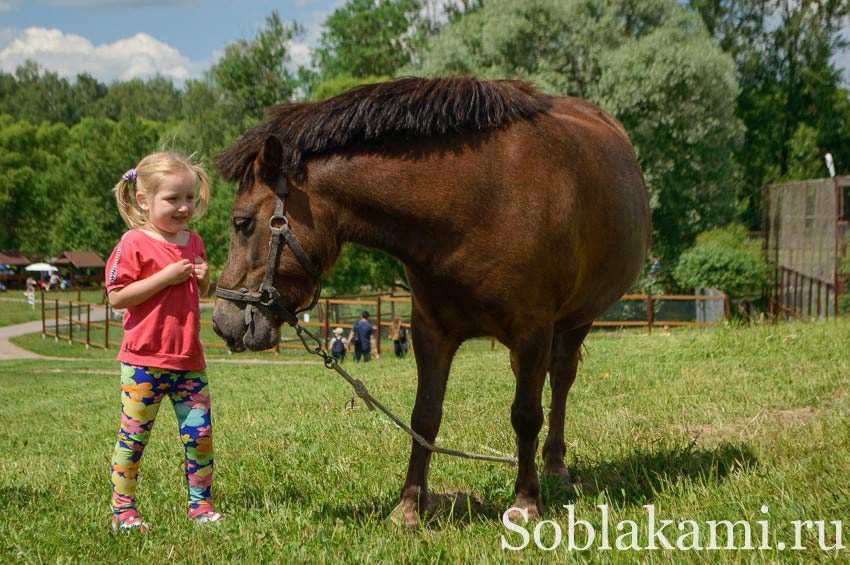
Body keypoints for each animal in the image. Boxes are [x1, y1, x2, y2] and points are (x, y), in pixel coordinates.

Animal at [212, 75, 648, 524]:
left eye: (241, 223)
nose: (223, 321)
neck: (479, 200)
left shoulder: (533, 330)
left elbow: (526, 415)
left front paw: (526, 500)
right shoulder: (431, 331)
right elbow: (425, 416)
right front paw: (408, 506)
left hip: (577, 320)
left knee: (560, 380)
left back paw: (554, 466)